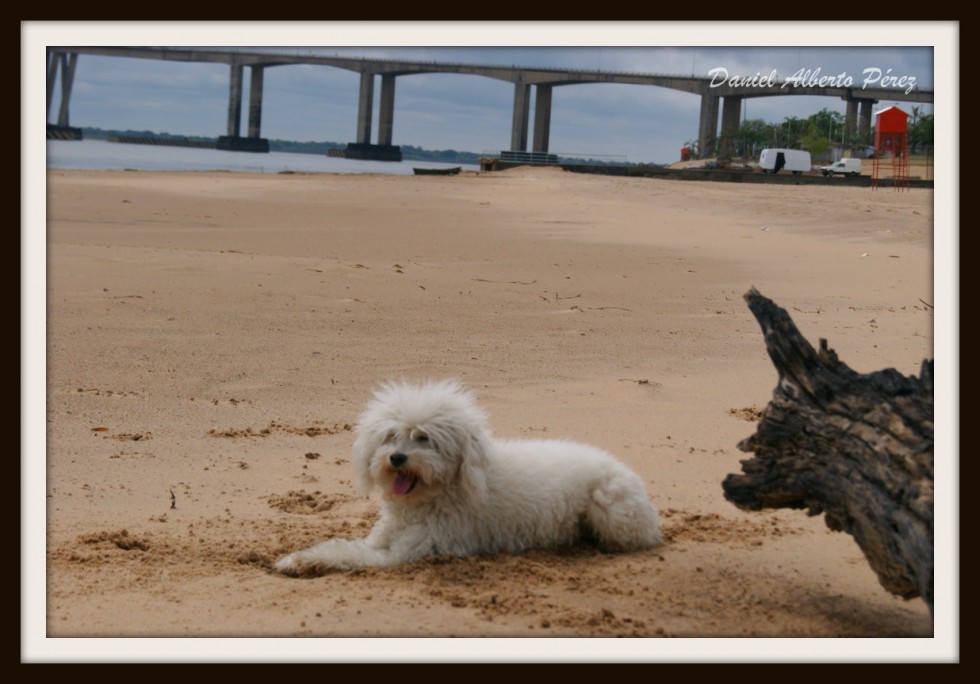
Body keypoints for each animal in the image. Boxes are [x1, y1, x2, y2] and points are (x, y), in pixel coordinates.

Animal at [272, 376, 664, 576]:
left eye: (424, 438)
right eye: (391, 435)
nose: (397, 458)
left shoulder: (404, 554)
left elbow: (348, 554)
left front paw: (302, 563)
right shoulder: (381, 540)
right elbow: (339, 544)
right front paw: (296, 558)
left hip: (609, 508)